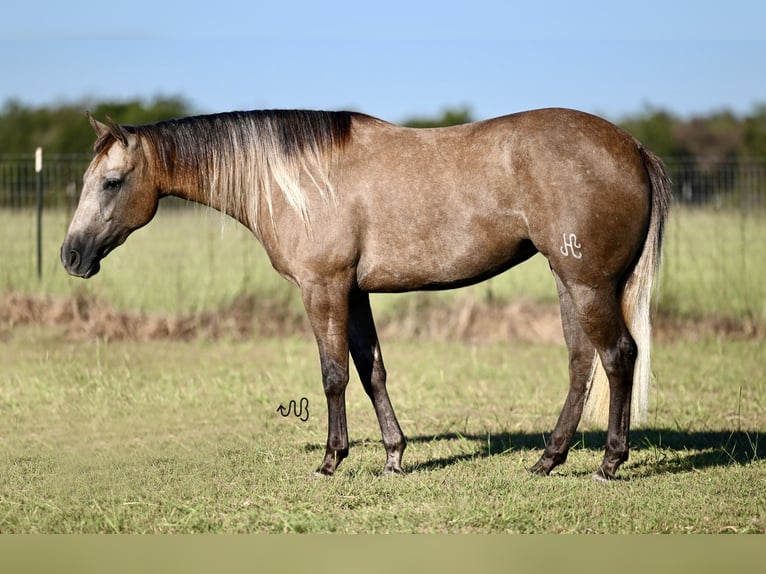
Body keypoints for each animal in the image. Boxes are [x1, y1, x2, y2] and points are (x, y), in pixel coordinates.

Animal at [60, 108, 672, 482]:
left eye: (111, 182)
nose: (71, 256)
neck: (299, 180)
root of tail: (633, 148)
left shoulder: (324, 288)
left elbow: (333, 374)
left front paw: (332, 460)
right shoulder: (355, 294)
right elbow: (370, 369)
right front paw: (394, 456)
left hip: (589, 285)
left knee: (618, 357)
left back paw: (609, 463)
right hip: (570, 283)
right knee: (580, 364)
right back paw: (548, 459)